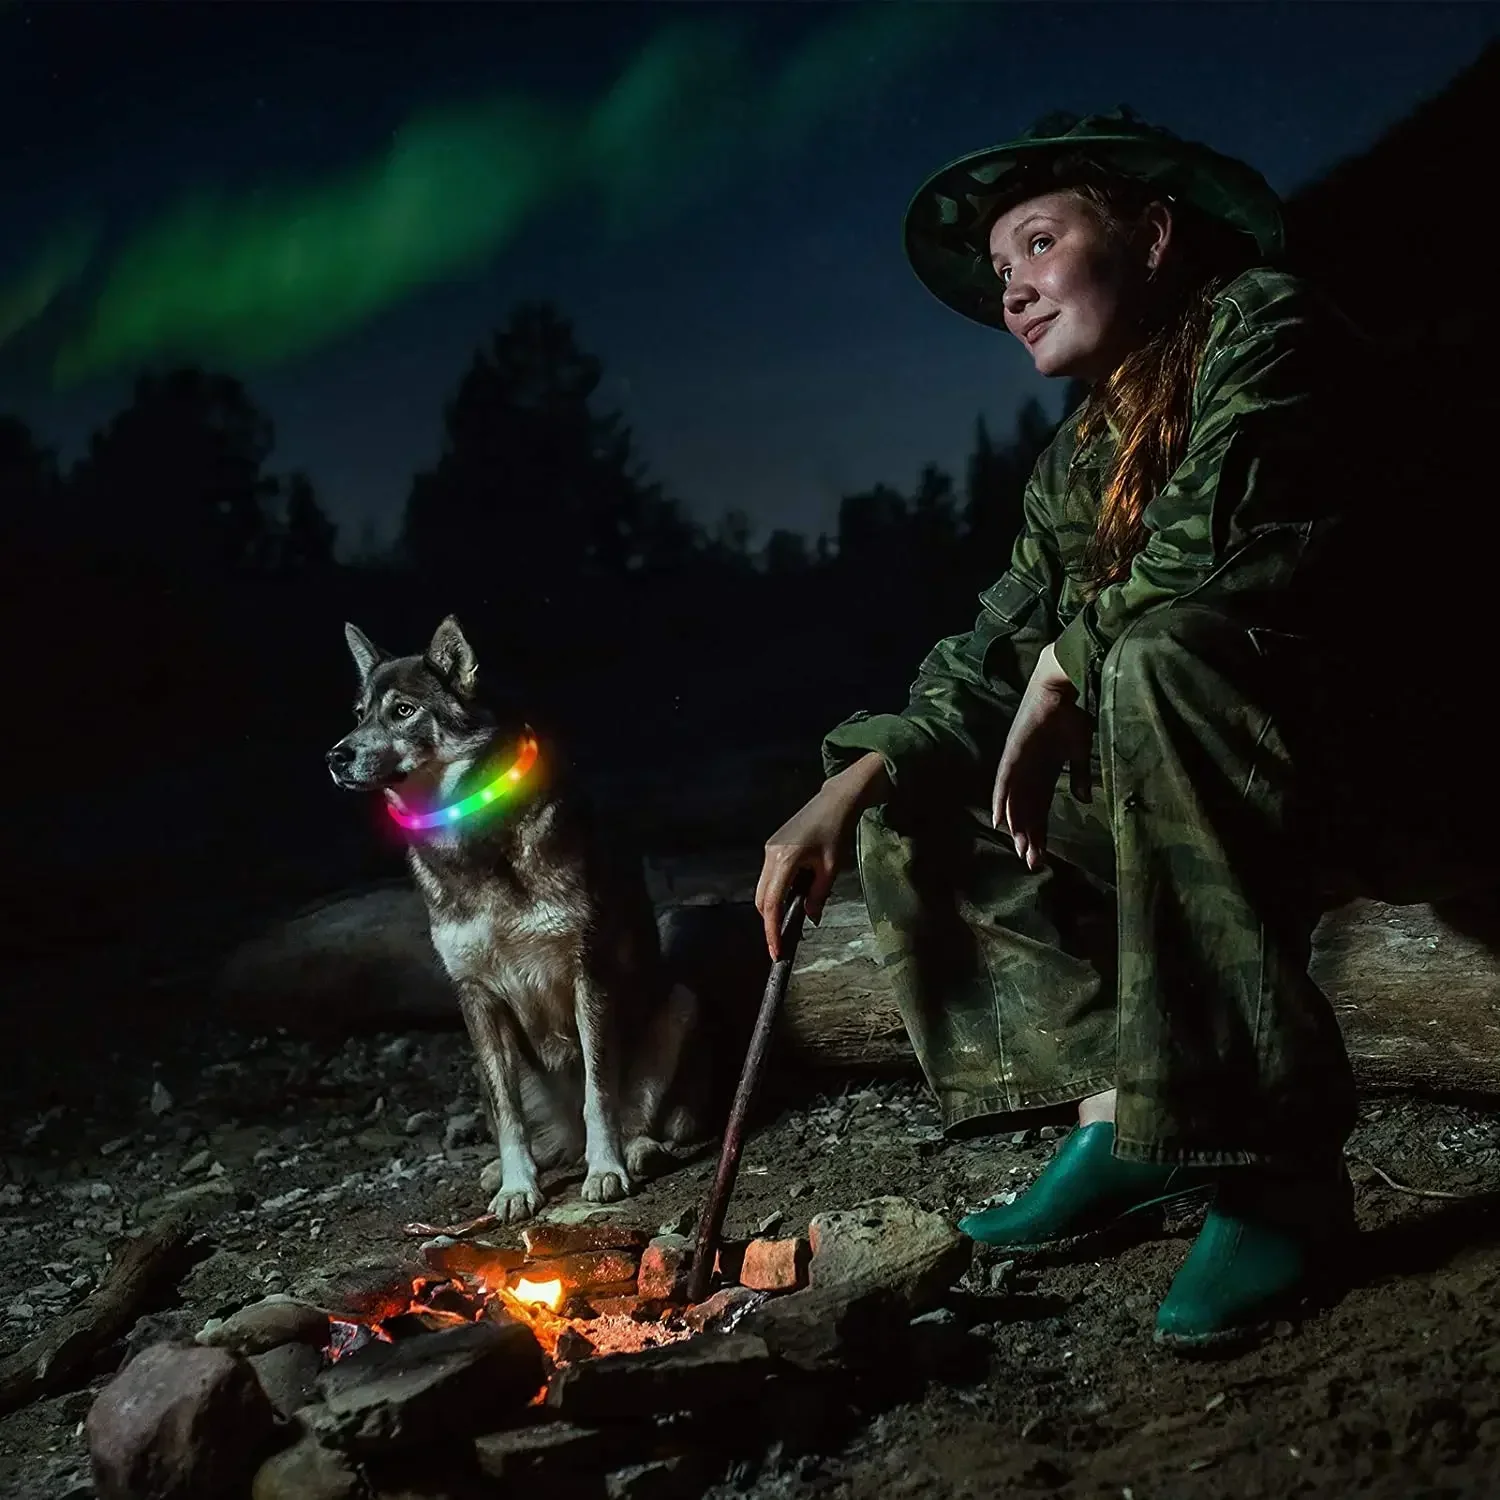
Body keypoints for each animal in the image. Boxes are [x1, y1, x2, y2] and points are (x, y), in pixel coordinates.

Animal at [325, 615, 699, 1224]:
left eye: (403, 710)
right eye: (359, 713)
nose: (335, 757)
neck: (472, 844)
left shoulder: (588, 974)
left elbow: (600, 1092)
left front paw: (606, 1169)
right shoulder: (476, 993)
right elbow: (508, 1117)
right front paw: (517, 1185)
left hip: (680, 1005)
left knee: (640, 1117)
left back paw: (637, 1150)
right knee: (546, 1135)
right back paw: (510, 1168)